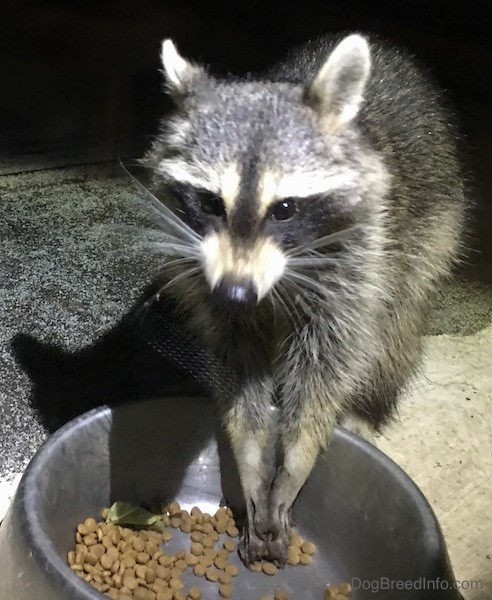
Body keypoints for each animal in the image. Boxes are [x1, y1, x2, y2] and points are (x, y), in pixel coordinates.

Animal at [142, 35, 466, 564]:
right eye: (210, 203)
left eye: (285, 209)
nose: (234, 292)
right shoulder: (210, 284)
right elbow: (239, 367)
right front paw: (251, 456)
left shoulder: (355, 263)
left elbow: (327, 370)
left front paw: (295, 461)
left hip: (431, 230)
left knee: (394, 327)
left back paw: (369, 408)